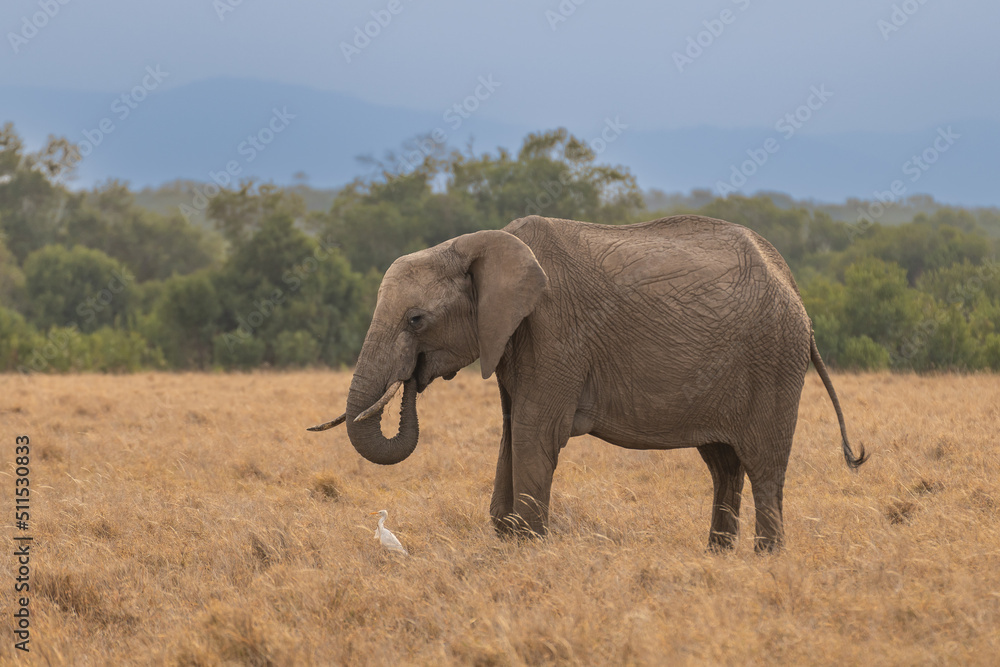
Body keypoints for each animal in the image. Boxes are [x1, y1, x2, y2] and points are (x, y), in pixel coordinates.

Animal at [309, 214, 868, 552]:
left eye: (416, 320)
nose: (411, 381)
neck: (480, 243)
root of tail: (794, 289)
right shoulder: (514, 339)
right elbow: (511, 430)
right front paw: (506, 540)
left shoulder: (555, 333)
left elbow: (535, 432)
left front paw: (528, 548)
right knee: (724, 465)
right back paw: (718, 556)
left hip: (773, 365)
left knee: (764, 467)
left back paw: (764, 559)